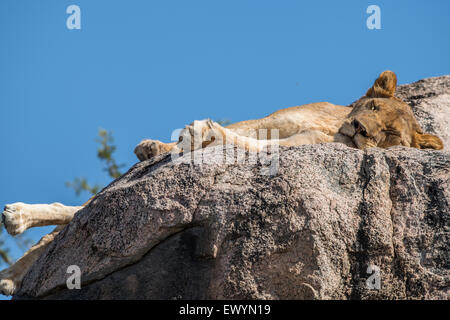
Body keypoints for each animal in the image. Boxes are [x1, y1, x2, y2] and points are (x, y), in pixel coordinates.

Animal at [0, 70, 442, 296]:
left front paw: (203, 132)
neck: (331, 129)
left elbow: (244, 142)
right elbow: (240, 132)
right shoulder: (275, 122)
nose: (359, 130)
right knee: (71, 218)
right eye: (373, 106)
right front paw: (176, 140)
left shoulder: (293, 143)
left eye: (389, 133)